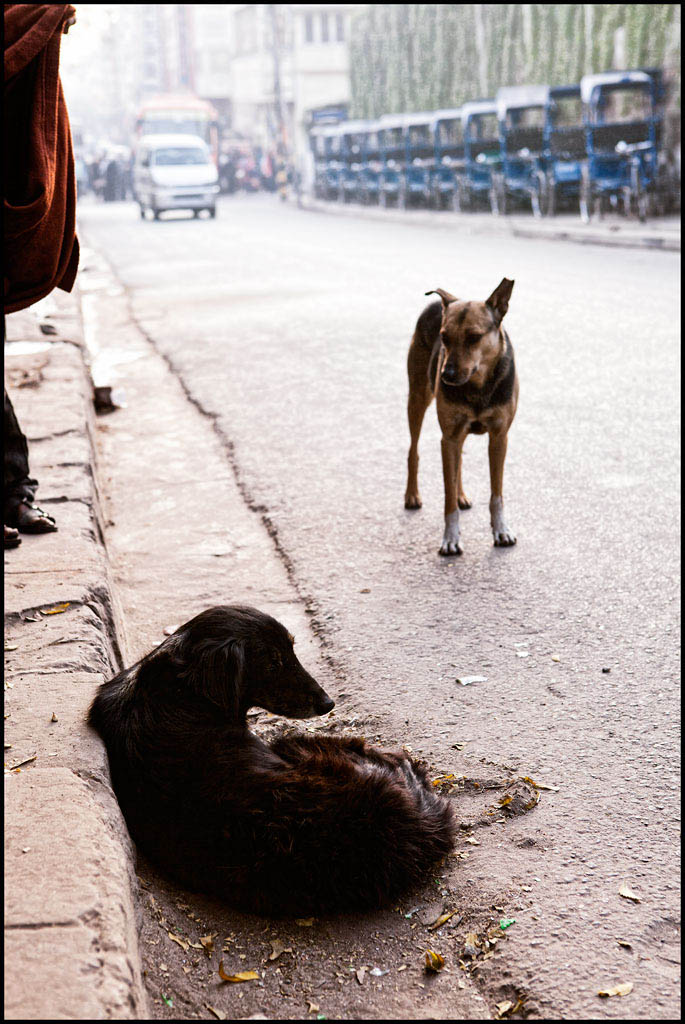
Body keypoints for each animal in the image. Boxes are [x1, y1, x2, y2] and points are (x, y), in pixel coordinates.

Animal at [89, 602, 454, 917]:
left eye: (292, 649)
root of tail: (414, 826)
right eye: (273, 662)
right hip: (296, 742)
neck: (178, 691)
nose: (328, 703)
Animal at [401, 276, 518, 557]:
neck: (477, 385)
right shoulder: (449, 437)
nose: (446, 376)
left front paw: (501, 531)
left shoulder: (499, 437)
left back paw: (461, 495)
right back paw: (412, 496)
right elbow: (447, 498)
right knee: (413, 450)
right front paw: (451, 539)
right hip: (417, 398)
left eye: (474, 337)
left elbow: (496, 493)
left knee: (458, 462)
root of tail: (437, 302)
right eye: (444, 337)